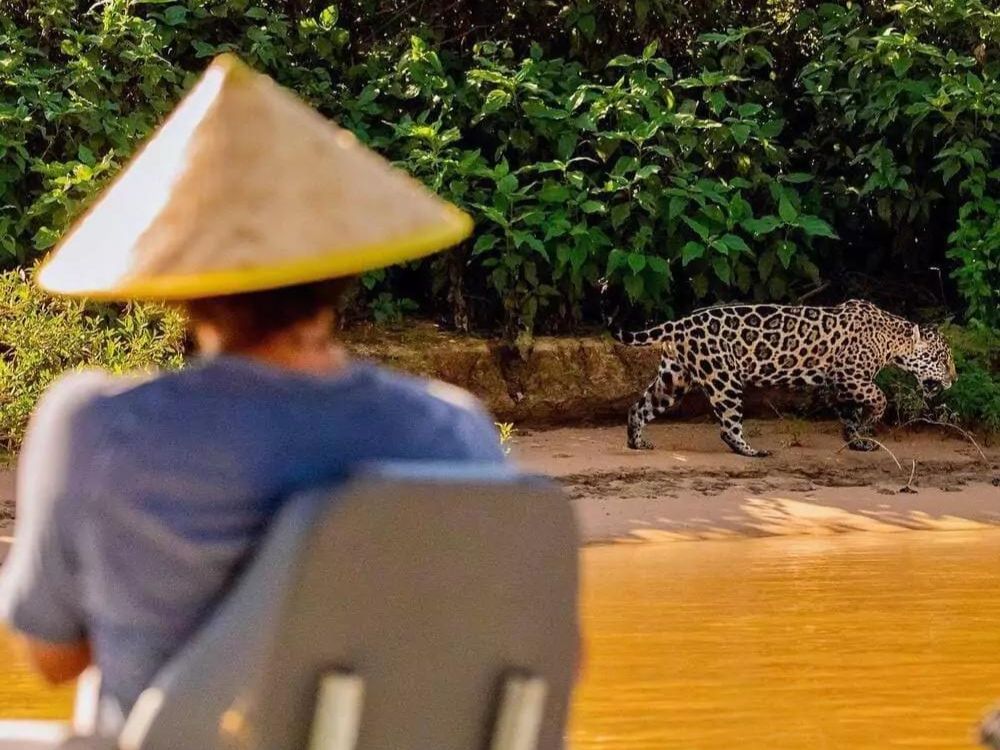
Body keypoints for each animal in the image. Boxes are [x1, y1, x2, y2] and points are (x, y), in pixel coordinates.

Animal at [603, 289, 956, 457]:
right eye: (942, 359)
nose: (954, 379)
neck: (892, 338)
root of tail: (680, 322)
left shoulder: (840, 385)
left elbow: (849, 414)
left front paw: (856, 439)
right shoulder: (850, 376)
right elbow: (879, 397)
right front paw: (870, 425)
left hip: (674, 377)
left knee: (640, 407)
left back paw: (636, 442)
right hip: (723, 380)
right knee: (728, 426)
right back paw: (752, 452)